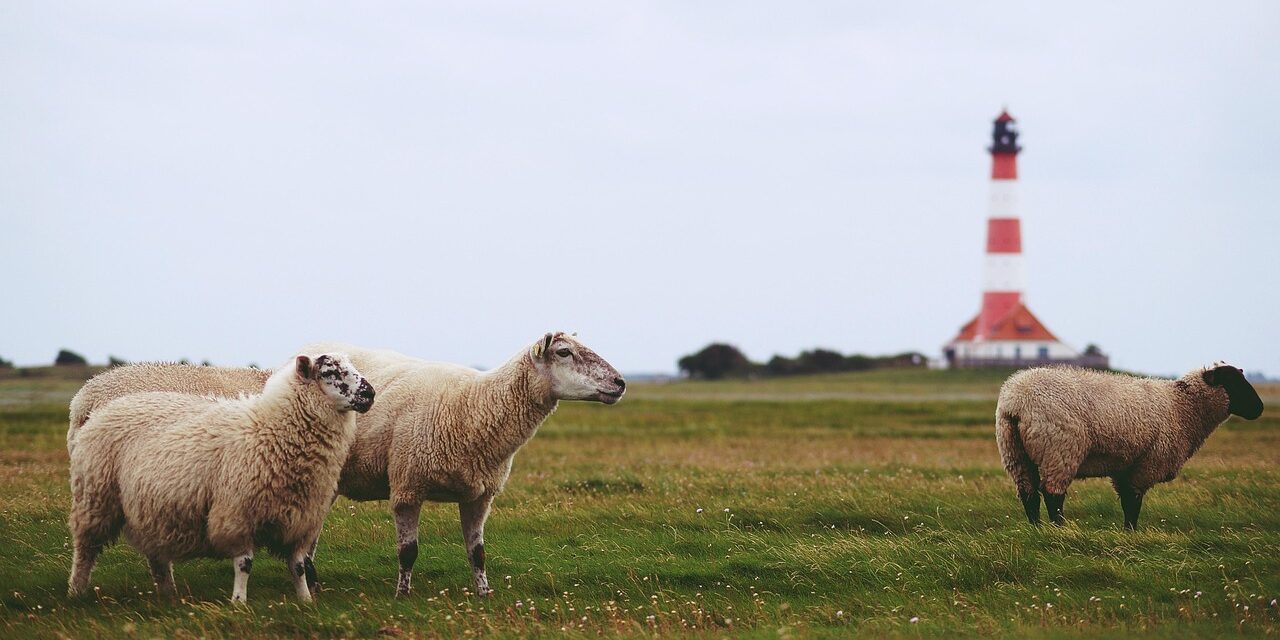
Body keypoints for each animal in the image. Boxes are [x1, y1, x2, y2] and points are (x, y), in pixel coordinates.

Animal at [995, 363, 1263, 529]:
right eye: (1233, 382)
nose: (1259, 408)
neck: (1181, 407)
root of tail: (1016, 401)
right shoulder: (1148, 463)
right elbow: (1133, 503)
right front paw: (1132, 532)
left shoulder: (1126, 465)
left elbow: (1126, 500)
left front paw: (1127, 533)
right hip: (1059, 450)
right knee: (1053, 494)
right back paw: (1059, 530)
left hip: (1015, 452)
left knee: (1028, 493)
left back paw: (1037, 529)